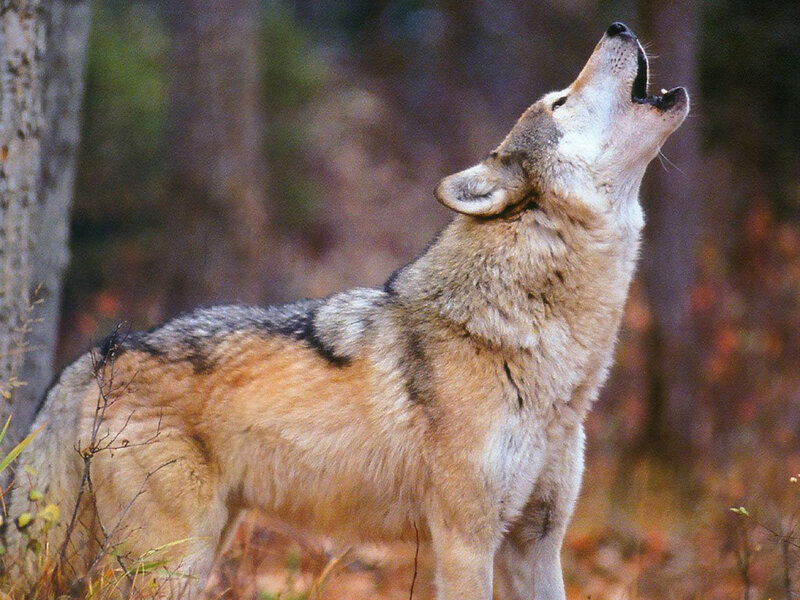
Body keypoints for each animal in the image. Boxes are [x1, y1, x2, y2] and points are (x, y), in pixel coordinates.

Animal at [6, 22, 688, 600]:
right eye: (559, 103)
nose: (618, 26)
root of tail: (95, 356)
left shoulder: (537, 543)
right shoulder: (466, 543)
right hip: (171, 564)